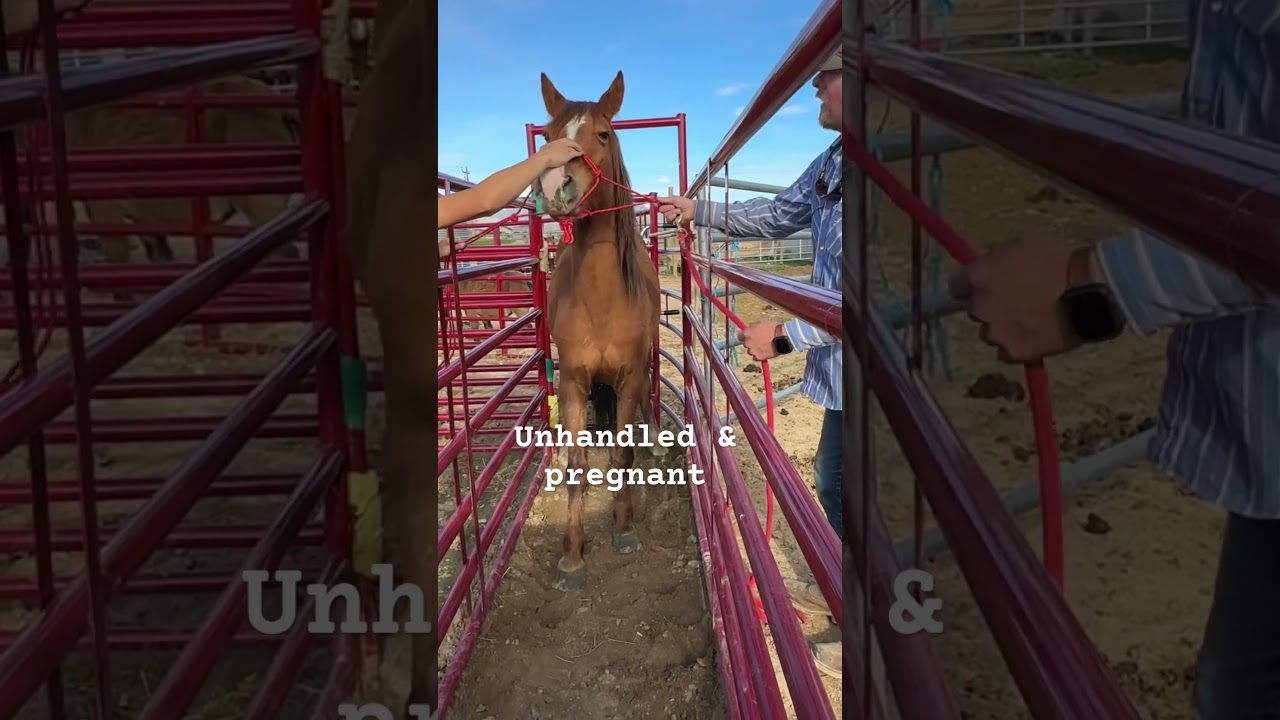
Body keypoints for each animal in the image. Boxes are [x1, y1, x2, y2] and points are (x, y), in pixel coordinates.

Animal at [530, 70, 664, 593]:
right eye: (548, 137)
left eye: (603, 135)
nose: (556, 185)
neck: (603, 299)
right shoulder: (572, 383)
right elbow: (578, 466)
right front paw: (572, 557)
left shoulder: (628, 378)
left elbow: (623, 455)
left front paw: (624, 529)